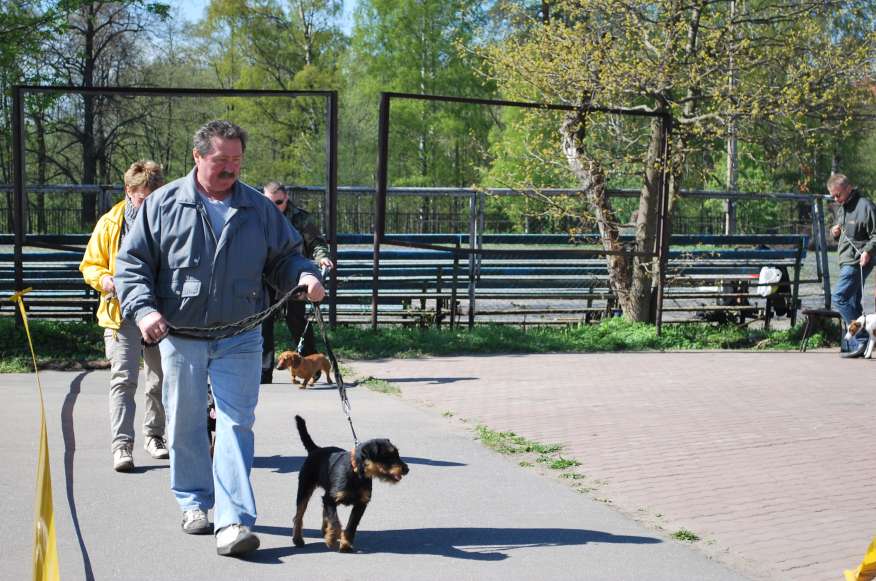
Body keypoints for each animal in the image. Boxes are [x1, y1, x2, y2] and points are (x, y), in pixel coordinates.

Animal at [292, 415, 409, 552]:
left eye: (397, 453)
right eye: (388, 456)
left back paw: (325, 531)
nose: (406, 469)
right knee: (299, 515)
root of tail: (316, 449)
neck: (356, 473)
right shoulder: (331, 499)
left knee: (323, 512)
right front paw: (332, 539)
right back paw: (298, 539)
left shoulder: (361, 504)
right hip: (305, 489)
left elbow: (351, 526)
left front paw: (345, 545)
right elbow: (335, 522)